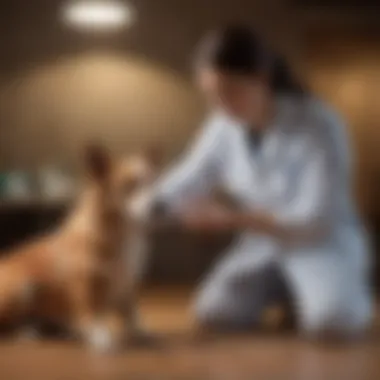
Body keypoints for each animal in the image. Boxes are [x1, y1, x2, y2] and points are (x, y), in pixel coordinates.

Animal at [0, 144, 158, 352]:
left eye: (153, 182)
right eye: (128, 186)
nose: (159, 205)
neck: (118, 233)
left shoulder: (126, 284)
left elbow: (132, 313)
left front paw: (140, 331)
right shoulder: (86, 286)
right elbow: (91, 313)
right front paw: (100, 337)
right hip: (23, 288)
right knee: (7, 323)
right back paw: (27, 331)